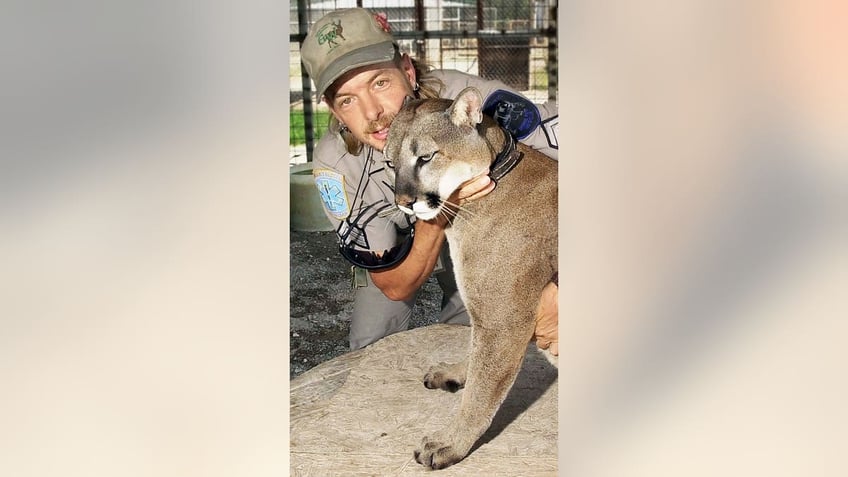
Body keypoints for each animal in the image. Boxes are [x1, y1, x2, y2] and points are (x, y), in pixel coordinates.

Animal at [382, 86, 556, 468]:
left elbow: (481, 390)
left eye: (426, 157)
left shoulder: (504, 319)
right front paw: (456, 372)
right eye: (389, 162)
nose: (404, 202)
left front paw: (450, 443)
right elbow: (476, 358)